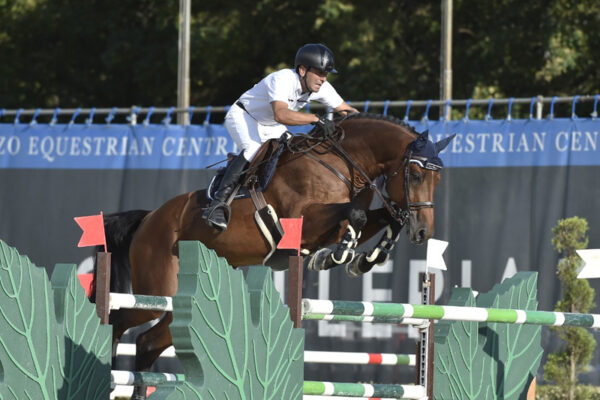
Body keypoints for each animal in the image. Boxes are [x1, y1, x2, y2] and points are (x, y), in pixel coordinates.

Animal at [90, 111, 454, 396]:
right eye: (416, 175)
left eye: (438, 180)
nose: (423, 232)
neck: (341, 163)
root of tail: (149, 218)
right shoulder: (304, 220)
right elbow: (357, 215)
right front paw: (336, 256)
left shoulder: (334, 224)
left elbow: (377, 218)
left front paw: (364, 258)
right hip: (157, 289)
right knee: (120, 320)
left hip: (183, 301)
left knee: (148, 342)